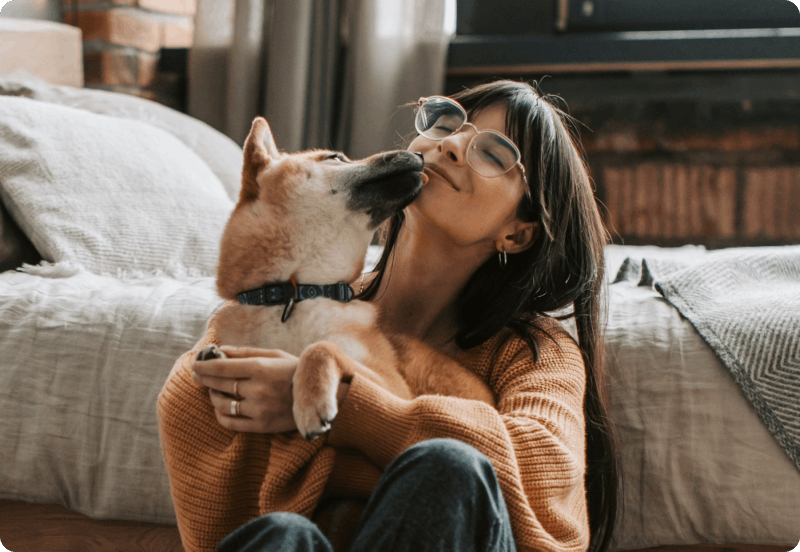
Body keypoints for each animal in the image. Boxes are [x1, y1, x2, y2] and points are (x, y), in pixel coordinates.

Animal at [198, 116, 494, 440]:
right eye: (335, 158)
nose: (418, 155)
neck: (296, 293)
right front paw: (214, 356)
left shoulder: (395, 389)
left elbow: (322, 347)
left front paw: (311, 401)